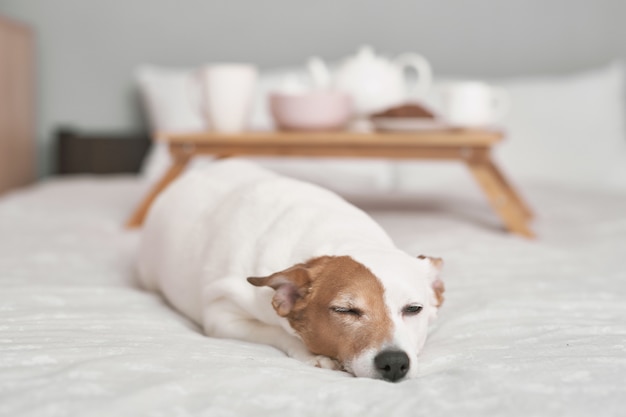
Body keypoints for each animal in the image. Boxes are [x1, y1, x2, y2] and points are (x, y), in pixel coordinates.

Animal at [135, 159, 444, 380]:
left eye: (413, 309)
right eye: (345, 310)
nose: (394, 363)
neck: (343, 236)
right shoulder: (221, 315)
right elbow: (278, 332)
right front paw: (313, 355)